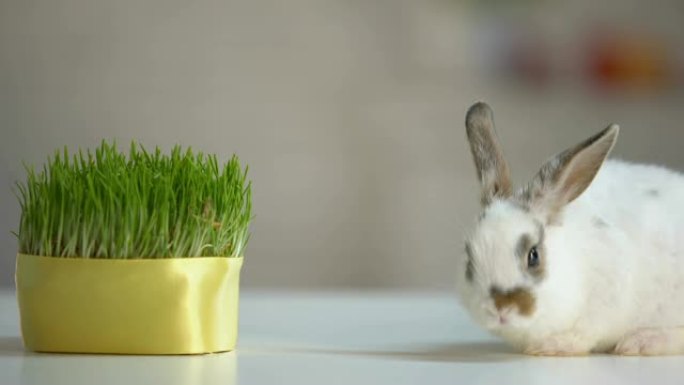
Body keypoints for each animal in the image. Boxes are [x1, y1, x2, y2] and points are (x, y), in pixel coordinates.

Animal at [454, 101, 684, 354]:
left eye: (533, 256)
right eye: (469, 259)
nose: (500, 309)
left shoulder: (608, 292)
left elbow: (585, 333)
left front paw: (552, 345)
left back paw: (644, 341)